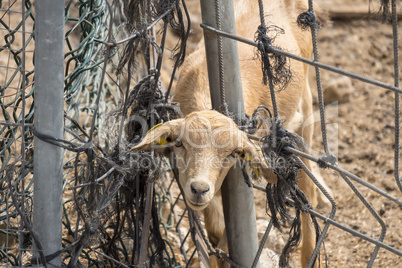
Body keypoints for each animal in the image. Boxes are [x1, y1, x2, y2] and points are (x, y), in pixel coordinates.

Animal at [133, 1, 328, 266]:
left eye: (233, 153)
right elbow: (214, 232)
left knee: (307, 191)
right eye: (180, 144)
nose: (199, 188)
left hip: (305, 106)